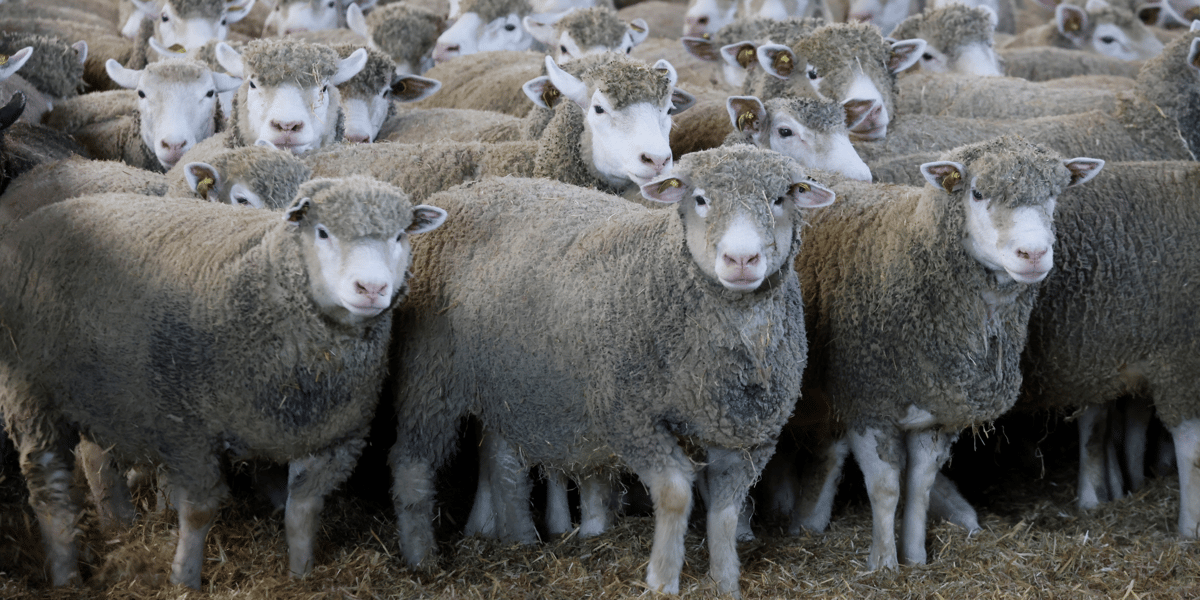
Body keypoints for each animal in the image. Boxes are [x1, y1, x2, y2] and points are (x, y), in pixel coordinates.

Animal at [0, 175, 448, 588]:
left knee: (96, 458)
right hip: (30, 393)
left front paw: (301, 574)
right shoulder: (189, 433)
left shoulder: (333, 440)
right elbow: (198, 513)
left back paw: (119, 524)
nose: (372, 288)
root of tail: (43, 215)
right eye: (322, 232)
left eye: (400, 235)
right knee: (50, 490)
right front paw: (184, 579)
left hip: (102, 394)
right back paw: (66, 576)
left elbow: (301, 513)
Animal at [388, 145, 836, 596]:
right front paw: (662, 579)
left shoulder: (747, 436)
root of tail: (462, 190)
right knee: (413, 462)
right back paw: (421, 557)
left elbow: (726, 512)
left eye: (779, 199)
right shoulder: (628, 415)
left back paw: (519, 538)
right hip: (430, 372)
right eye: (700, 199)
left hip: (510, 381)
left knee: (501, 458)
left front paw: (725, 582)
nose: (741, 259)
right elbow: (676, 493)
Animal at [795, 135, 1103, 569]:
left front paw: (915, 557)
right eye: (977, 193)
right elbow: (886, 488)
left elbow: (919, 485)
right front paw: (884, 564)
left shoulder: (937, 412)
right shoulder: (867, 402)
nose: (1034, 255)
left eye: (1054, 195)